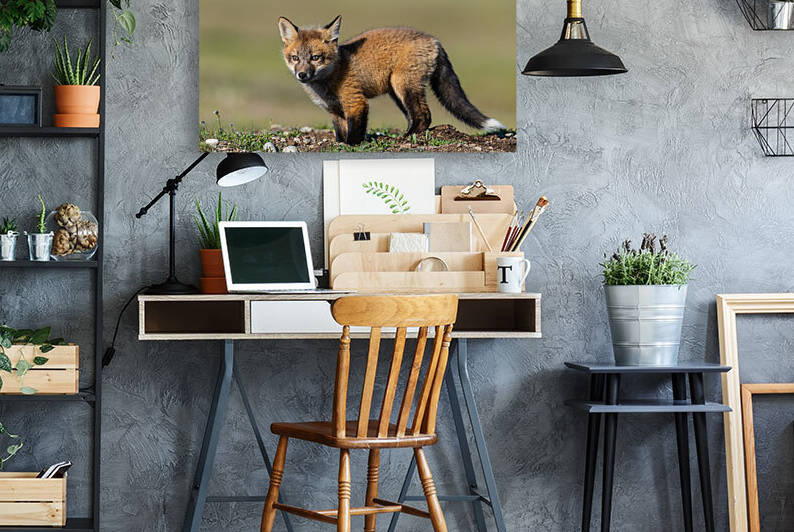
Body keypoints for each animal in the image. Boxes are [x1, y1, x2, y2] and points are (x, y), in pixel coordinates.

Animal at [278, 15, 506, 145]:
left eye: (316, 57)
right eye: (295, 58)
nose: (302, 75)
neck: (327, 81)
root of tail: (434, 39)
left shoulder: (356, 102)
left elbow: (354, 132)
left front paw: (352, 145)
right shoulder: (334, 111)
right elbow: (340, 133)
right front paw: (340, 143)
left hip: (402, 85)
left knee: (424, 116)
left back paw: (407, 137)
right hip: (396, 93)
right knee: (417, 116)